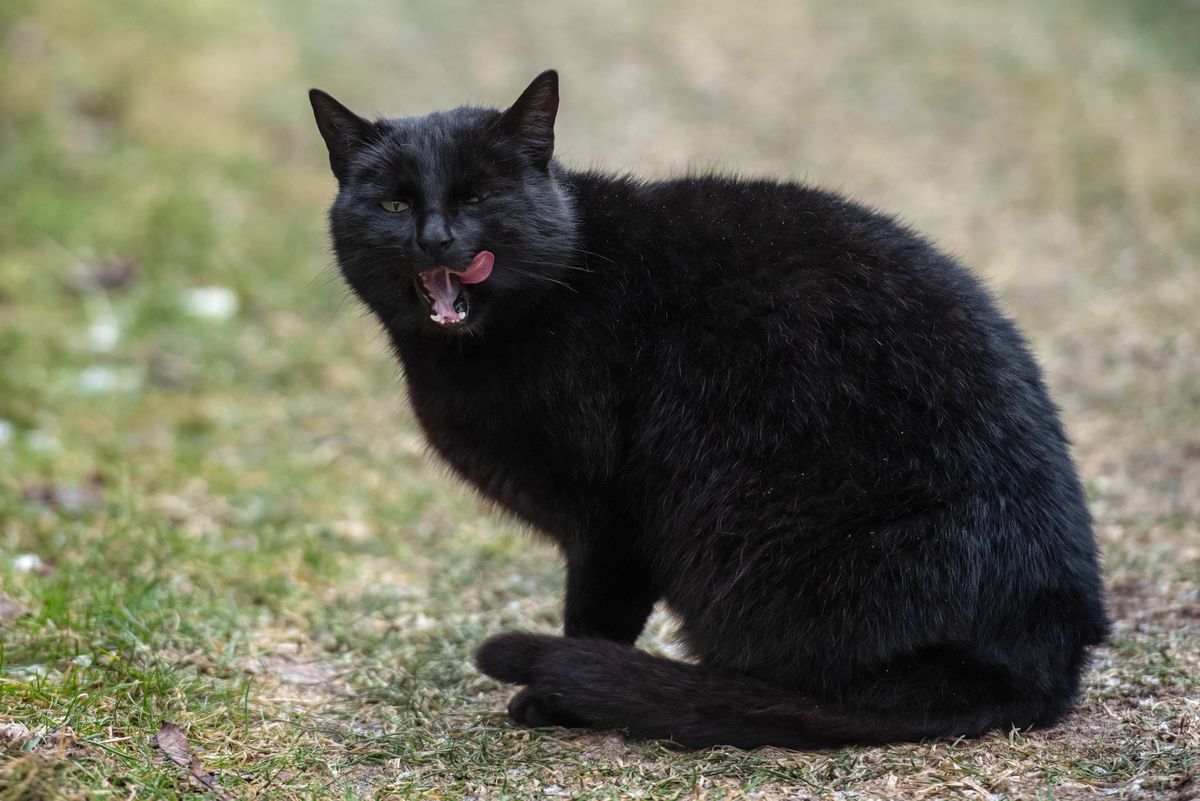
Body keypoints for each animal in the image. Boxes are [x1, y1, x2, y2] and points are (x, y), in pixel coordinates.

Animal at [309, 70, 1104, 753]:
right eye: (394, 205)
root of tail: (1046, 665)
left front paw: (557, 700)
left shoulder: (611, 520)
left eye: (476, 197)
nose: (436, 237)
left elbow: (596, 618)